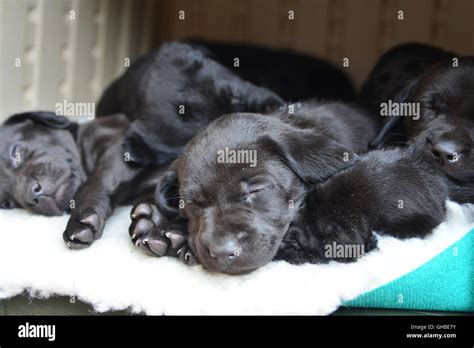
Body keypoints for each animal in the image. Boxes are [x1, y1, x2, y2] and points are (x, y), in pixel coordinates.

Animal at [0, 111, 165, 247]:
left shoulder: (121, 146)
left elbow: (97, 180)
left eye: (15, 152)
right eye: (8, 203)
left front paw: (82, 215)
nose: (32, 196)